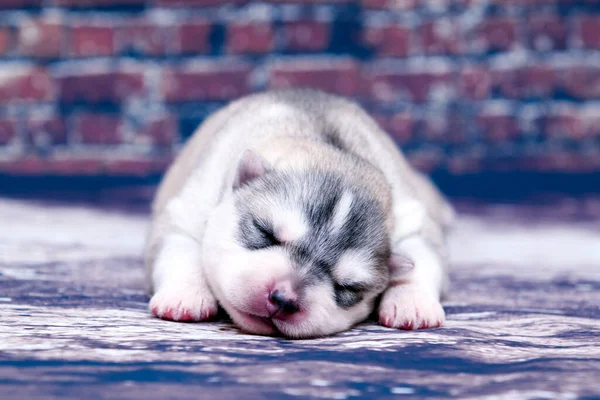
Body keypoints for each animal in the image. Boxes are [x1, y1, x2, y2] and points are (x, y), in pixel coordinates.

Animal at [146, 89, 454, 340]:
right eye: (264, 232)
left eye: (347, 287)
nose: (284, 299)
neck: (333, 152)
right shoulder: (189, 207)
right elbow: (181, 248)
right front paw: (185, 295)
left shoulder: (412, 218)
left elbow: (422, 256)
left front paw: (412, 302)